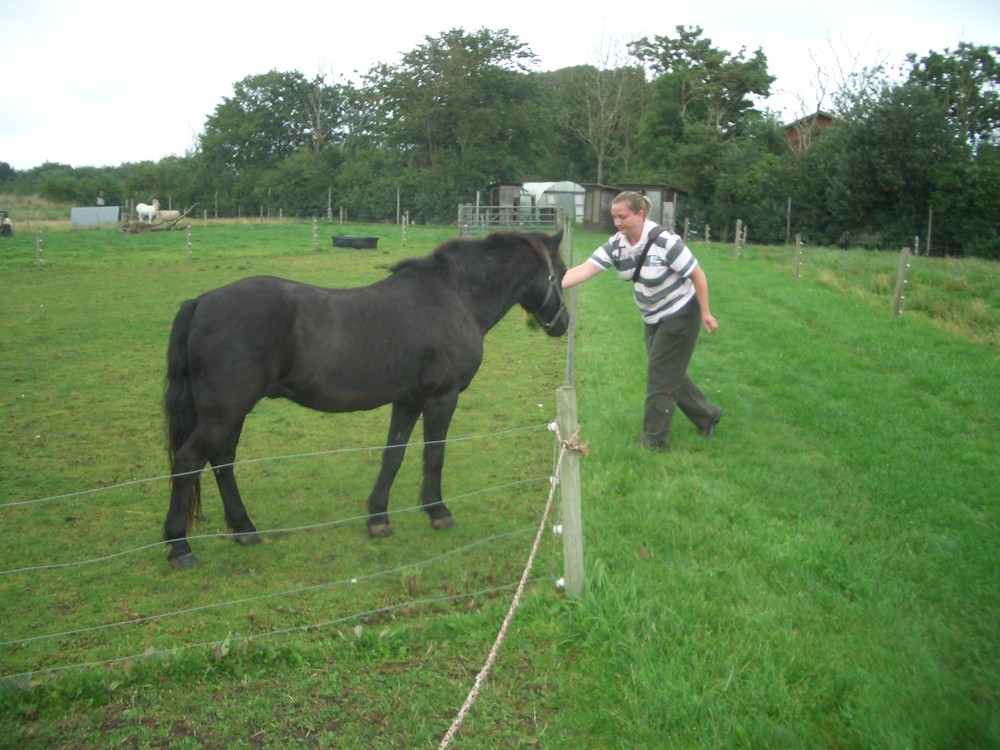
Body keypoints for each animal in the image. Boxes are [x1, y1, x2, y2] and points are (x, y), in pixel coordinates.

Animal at [164, 229, 572, 568]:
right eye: (562, 271)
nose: (563, 324)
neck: (454, 298)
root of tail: (201, 302)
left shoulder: (408, 400)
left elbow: (394, 455)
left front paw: (378, 517)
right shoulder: (442, 398)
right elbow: (434, 454)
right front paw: (438, 511)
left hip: (231, 412)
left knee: (222, 460)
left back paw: (244, 528)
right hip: (224, 411)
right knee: (188, 461)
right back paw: (180, 546)